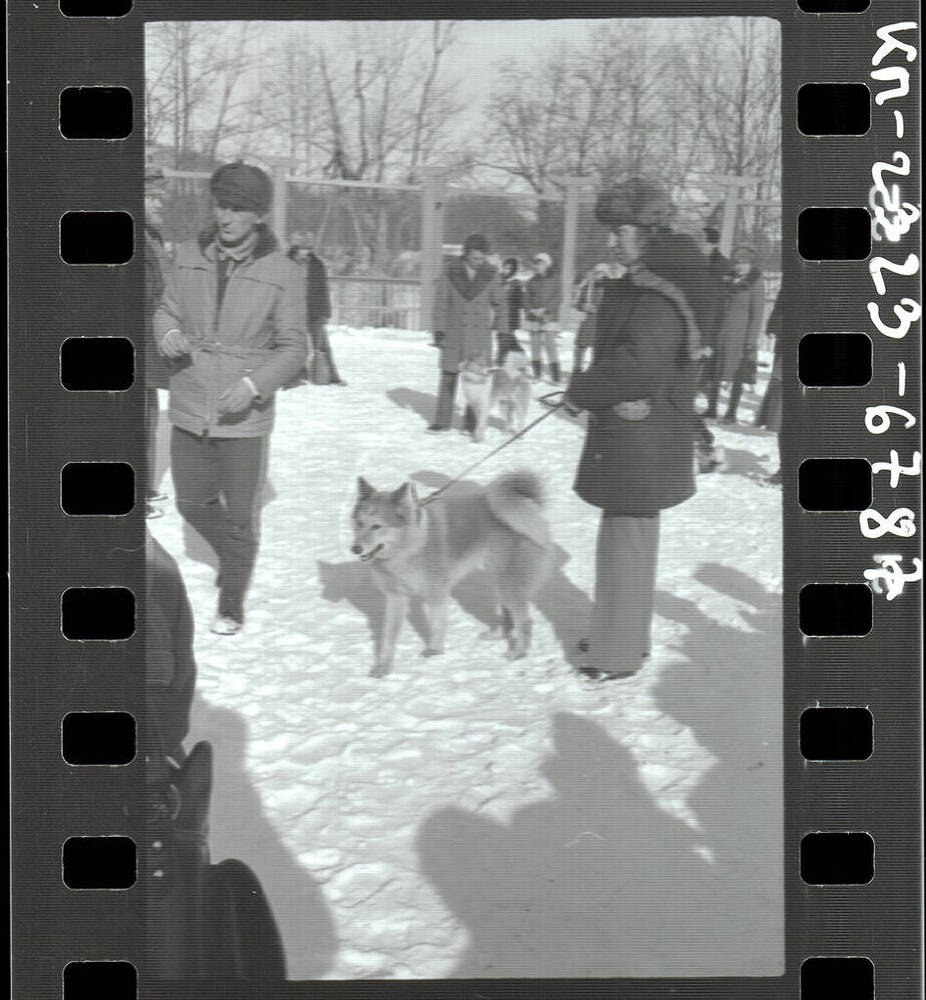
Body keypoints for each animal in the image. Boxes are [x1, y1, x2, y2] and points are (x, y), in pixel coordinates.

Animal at [352, 470, 556, 676]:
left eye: (377, 526)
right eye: (359, 523)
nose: (355, 548)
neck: (410, 545)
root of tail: (529, 504)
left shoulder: (435, 592)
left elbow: (436, 624)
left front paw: (434, 652)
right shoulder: (396, 597)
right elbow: (388, 636)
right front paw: (383, 666)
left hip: (508, 580)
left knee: (524, 620)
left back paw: (518, 653)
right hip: (498, 578)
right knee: (509, 613)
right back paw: (499, 635)